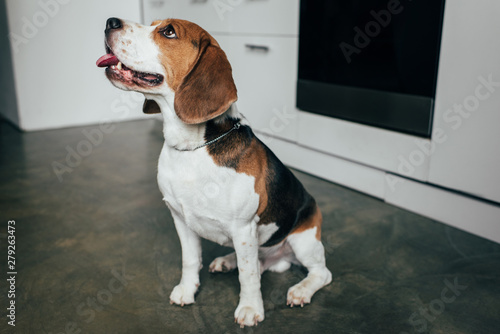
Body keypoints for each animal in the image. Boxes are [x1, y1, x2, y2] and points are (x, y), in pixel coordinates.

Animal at [97, 17, 332, 328]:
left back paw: (301, 290)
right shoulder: (180, 219)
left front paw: (250, 308)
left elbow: (248, 276)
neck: (193, 147)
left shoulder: (243, 227)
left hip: (302, 240)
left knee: (319, 272)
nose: (110, 21)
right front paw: (187, 290)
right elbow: (190, 260)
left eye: (168, 31)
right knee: (258, 262)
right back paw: (227, 260)